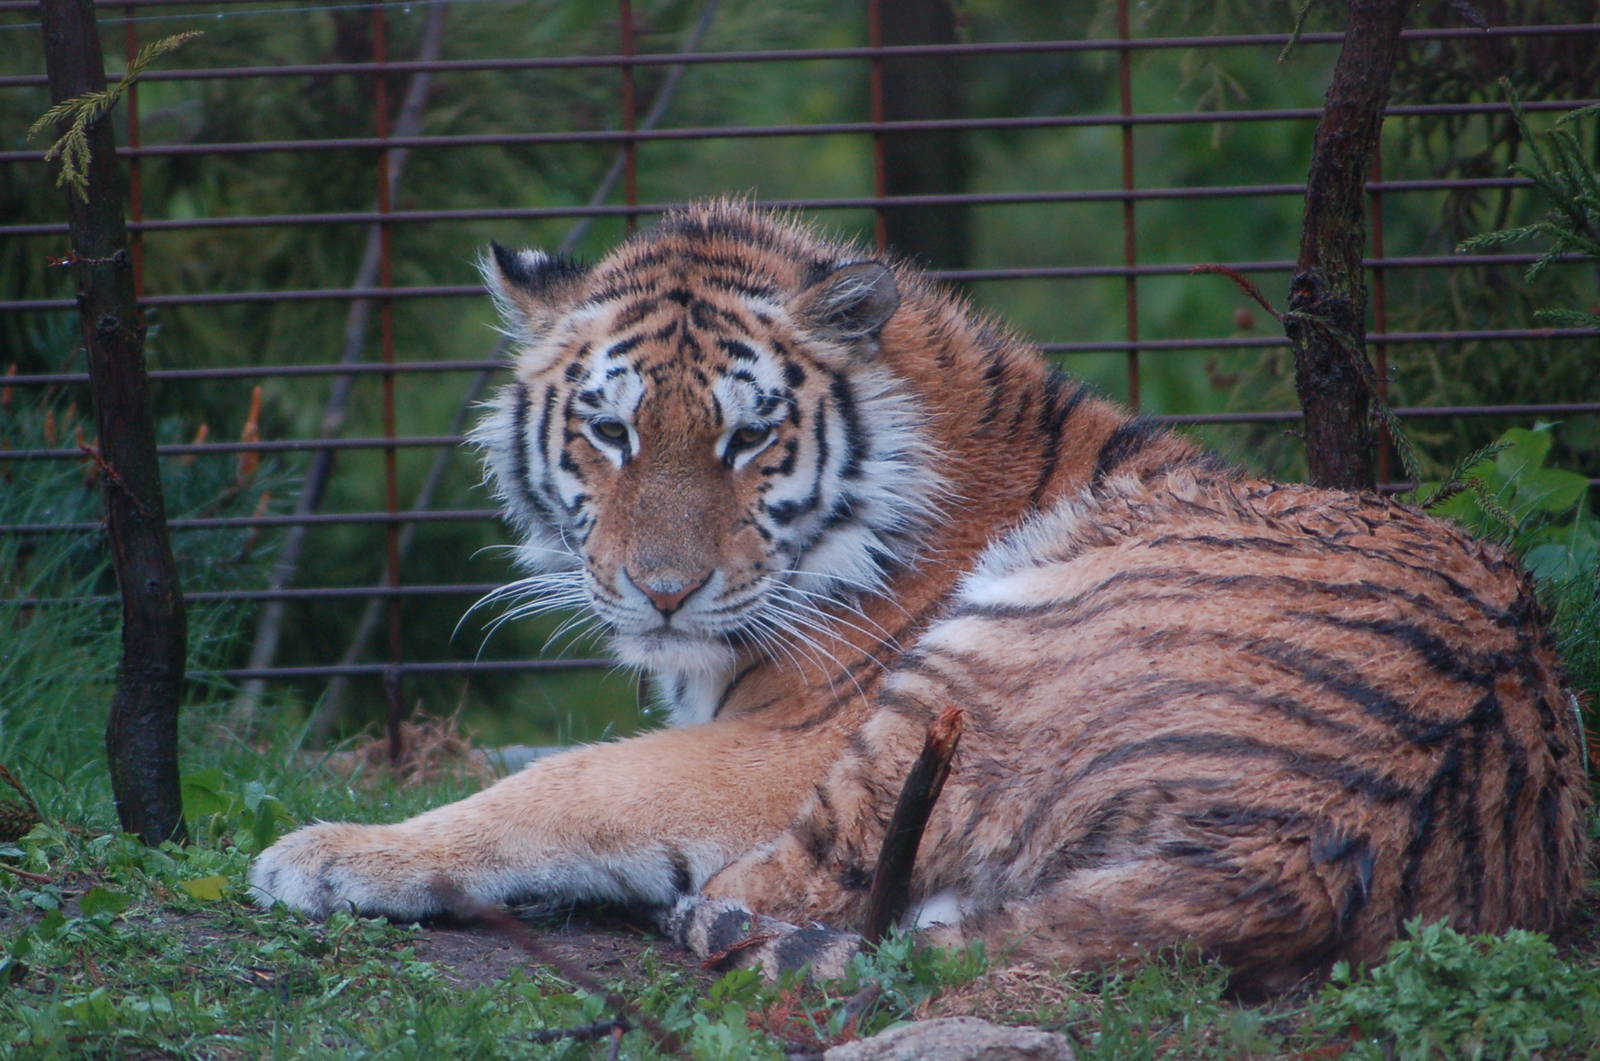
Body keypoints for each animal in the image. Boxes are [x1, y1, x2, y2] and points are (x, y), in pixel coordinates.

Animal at [251, 200, 1590, 993]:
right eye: (610, 432)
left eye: (747, 438)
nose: (662, 590)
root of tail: (1318, 846)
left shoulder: (796, 738)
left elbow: (577, 780)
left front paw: (331, 849)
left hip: (977, 669)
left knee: (787, 887)